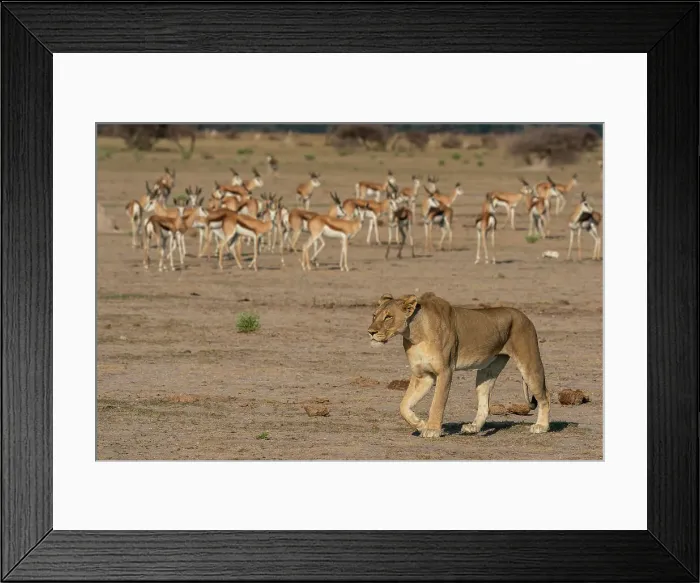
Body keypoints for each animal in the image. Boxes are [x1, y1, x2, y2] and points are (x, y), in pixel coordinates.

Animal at [367, 292, 550, 438]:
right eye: (374, 316)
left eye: (388, 317)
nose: (371, 332)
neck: (416, 336)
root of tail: (523, 315)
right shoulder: (423, 375)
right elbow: (404, 405)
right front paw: (420, 424)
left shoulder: (445, 371)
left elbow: (437, 403)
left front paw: (432, 429)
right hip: (487, 371)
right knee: (484, 403)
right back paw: (473, 427)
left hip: (529, 363)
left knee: (545, 396)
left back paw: (541, 426)